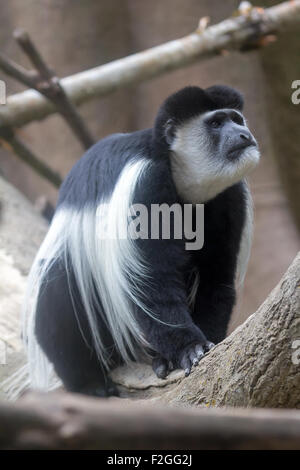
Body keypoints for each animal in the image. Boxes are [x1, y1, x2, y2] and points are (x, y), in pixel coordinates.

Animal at [24, 85, 260, 396]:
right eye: (217, 123)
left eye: (237, 119)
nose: (244, 134)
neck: (177, 173)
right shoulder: (146, 186)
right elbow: (152, 282)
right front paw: (190, 348)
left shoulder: (228, 198)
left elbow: (216, 279)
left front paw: (206, 344)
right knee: (59, 292)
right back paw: (88, 383)